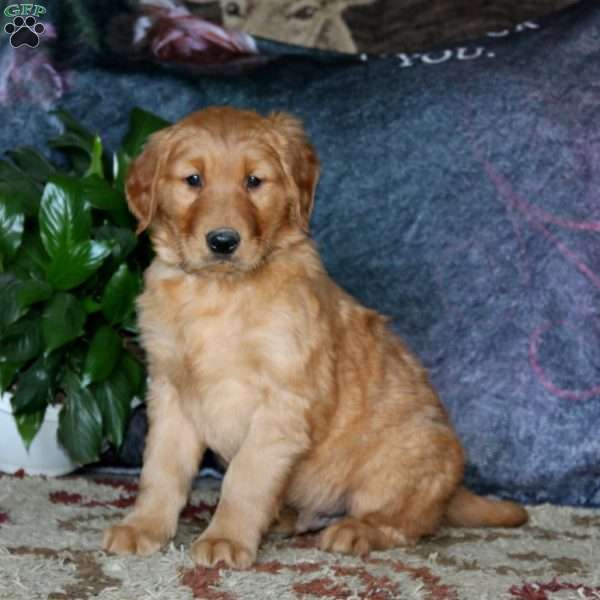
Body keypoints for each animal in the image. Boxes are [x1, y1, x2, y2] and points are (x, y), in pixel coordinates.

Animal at [102, 106, 524, 568]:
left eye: (254, 181)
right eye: (193, 180)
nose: (223, 241)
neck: (219, 292)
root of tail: (453, 489)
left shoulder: (283, 400)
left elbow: (244, 478)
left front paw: (225, 538)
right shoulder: (171, 392)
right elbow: (161, 469)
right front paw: (144, 526)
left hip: (399, 463)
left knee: (406, 523)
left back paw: (356, 530)